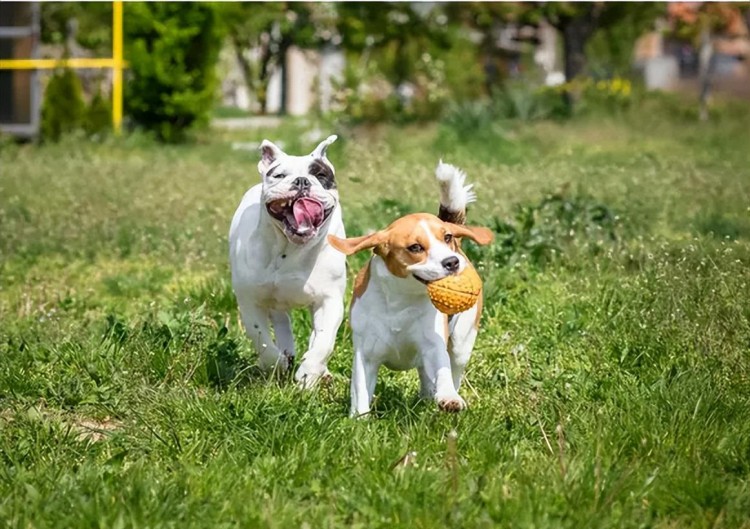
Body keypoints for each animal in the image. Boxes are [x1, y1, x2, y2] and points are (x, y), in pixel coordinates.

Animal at [229, 134, 346, 386]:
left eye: (321, 175)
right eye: (279, 175)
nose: (302, 181)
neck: (290, 248)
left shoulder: (329, 301)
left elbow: (324, 342)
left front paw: (308, 373)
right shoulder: (250, 302)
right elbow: (261, 338)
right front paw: (276, 364)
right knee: (281, 322)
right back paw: (286, 354)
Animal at [328, 163, 494, 414]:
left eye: (446, 237)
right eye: (415, 247)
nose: (452, 262)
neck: (401, 301)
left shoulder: (434, 345)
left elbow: (442, 370)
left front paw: (448, 397)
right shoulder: (365, 353)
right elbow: (360, 392)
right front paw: (359, 418)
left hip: (462, 342)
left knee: (453, 369)